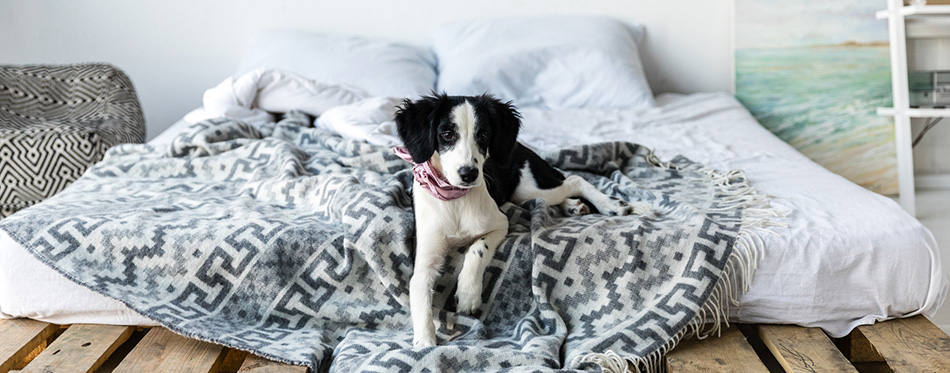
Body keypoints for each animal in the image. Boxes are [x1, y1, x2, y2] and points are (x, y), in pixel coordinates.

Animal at [396, 93, 656, 346]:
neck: (455, 199)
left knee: (574, 180)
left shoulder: (500, 223)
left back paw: (610, 204)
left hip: (529, 189)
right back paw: (573, 206)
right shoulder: (425, 259)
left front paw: (469, 292)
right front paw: (425, 345)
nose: (469, 174)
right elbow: (420, 298)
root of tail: (522, 147)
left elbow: (477, 250)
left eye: (483, 135)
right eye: (447, 134)